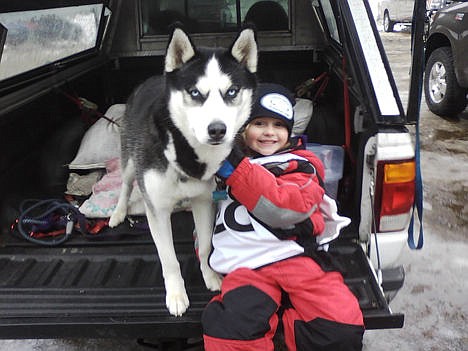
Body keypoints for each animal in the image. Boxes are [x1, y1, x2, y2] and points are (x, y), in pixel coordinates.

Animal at [108, 26, 258, 318]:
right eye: (195, 93)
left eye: (232, 91)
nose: (217, 130)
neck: (187, 154)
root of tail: (153, 79)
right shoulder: (157, 210)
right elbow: (169, 260)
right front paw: (176, 294)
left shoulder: (204, 201)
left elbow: (207, 246)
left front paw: (210, 275)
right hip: (130, 160)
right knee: (126, 184)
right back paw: (118, 212)